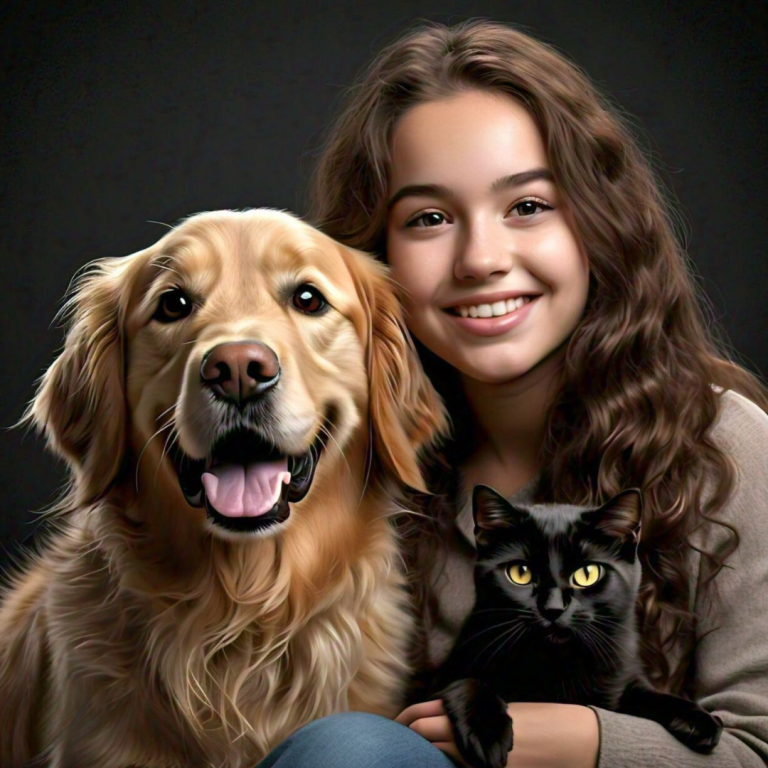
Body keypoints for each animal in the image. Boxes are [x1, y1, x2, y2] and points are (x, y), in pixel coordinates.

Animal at [428, 486, 724, 768]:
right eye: (520, 573)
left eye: (587, 574)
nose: (553, 608)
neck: (559, 666)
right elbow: (468, 681)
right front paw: (486, 734)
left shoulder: (622, 675)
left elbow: (648, 693)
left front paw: (698, 719)